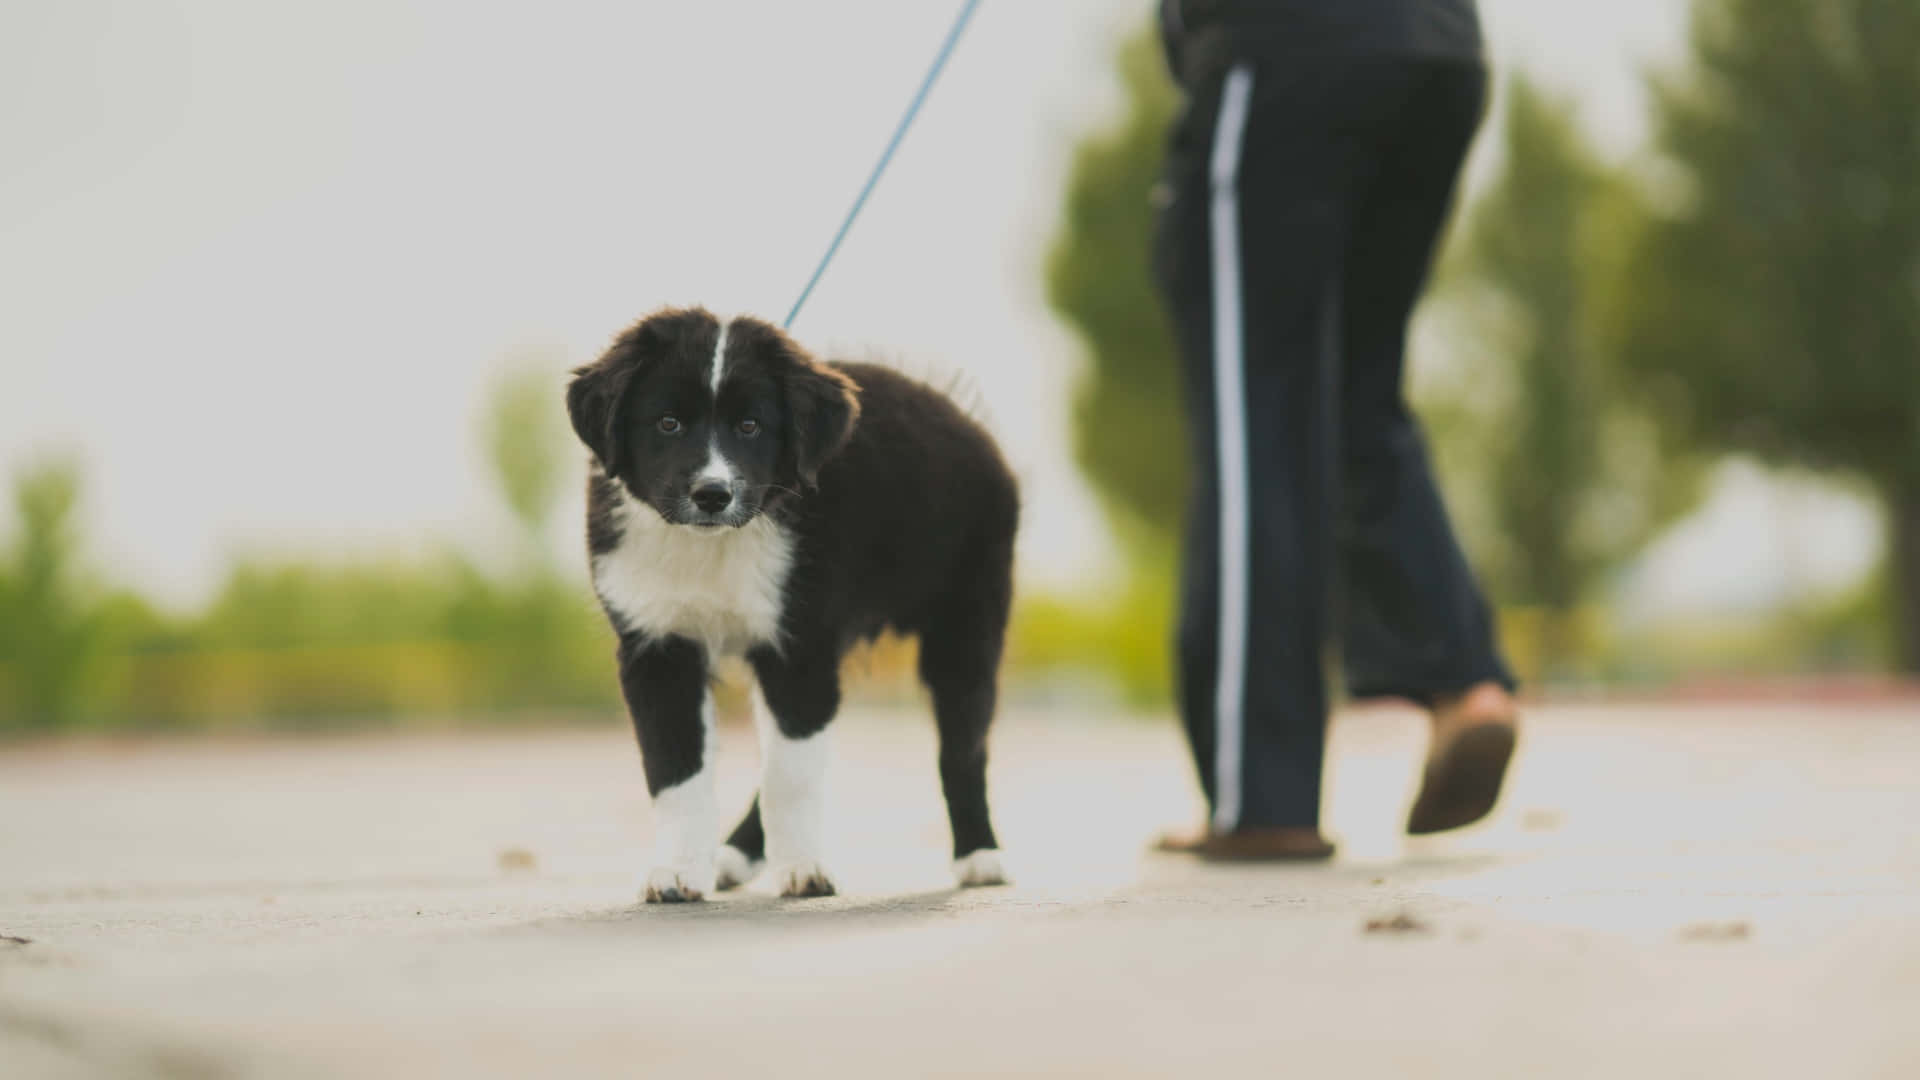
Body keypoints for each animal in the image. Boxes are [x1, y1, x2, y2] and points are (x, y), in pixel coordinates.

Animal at [564, 305, 1021, 899]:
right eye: (667, 423)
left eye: (750, 426)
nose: (712, 495)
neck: (713, 545)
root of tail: (965, 419)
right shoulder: (658, 647)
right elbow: (676, 772)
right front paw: (678, 872)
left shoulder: (801, 647)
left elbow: (791, 776)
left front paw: (803, 869)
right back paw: (733, 856)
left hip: (967, 621)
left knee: (963, 747)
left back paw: (979, 856)